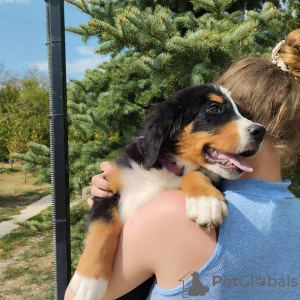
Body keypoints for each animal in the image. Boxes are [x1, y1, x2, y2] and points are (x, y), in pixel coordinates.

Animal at [71, 84, 266, 300]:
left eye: (241, 111)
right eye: (214, 109)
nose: (260, 131)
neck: (167, 168)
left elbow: (195, 175)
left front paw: (205, 202)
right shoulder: (107, 189)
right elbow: (102, 229)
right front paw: (87, 282)